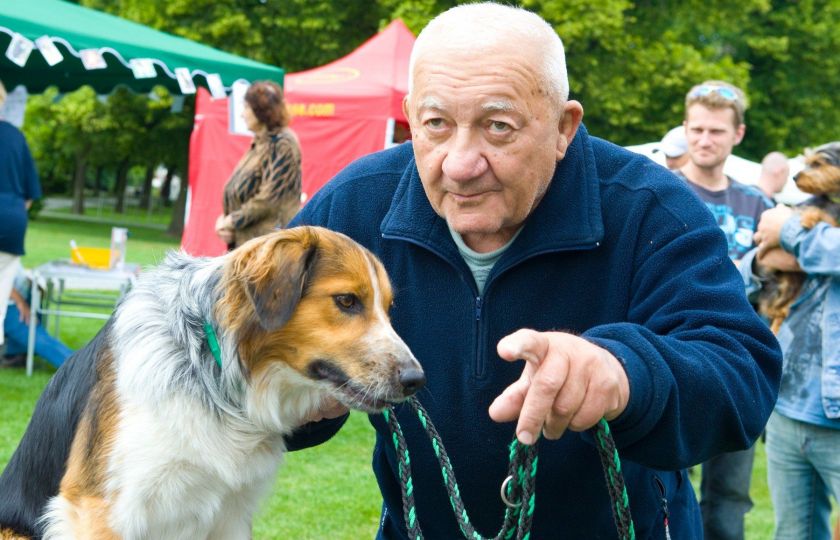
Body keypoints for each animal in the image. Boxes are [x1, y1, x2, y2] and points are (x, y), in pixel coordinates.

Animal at [0, 226, 424, 536]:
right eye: (347, 301)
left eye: (388, 309)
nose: (415, 379)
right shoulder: (101, 511)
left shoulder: (230, 513)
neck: (210, 372)